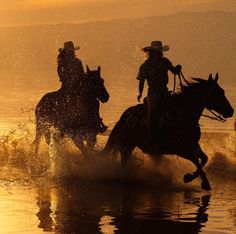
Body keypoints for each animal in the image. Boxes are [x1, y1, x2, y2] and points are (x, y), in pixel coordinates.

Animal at [103, 73, 234, 190]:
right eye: (216, 92)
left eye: (222, 91)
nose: (231, 111)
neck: (182, 116)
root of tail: (124, 117)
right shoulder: (181, 149)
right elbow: (196, 161)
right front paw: (199, 181)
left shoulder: (193, 146)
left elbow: (204, 159)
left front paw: (192, 178)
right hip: (126, 146)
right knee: (123, 165)